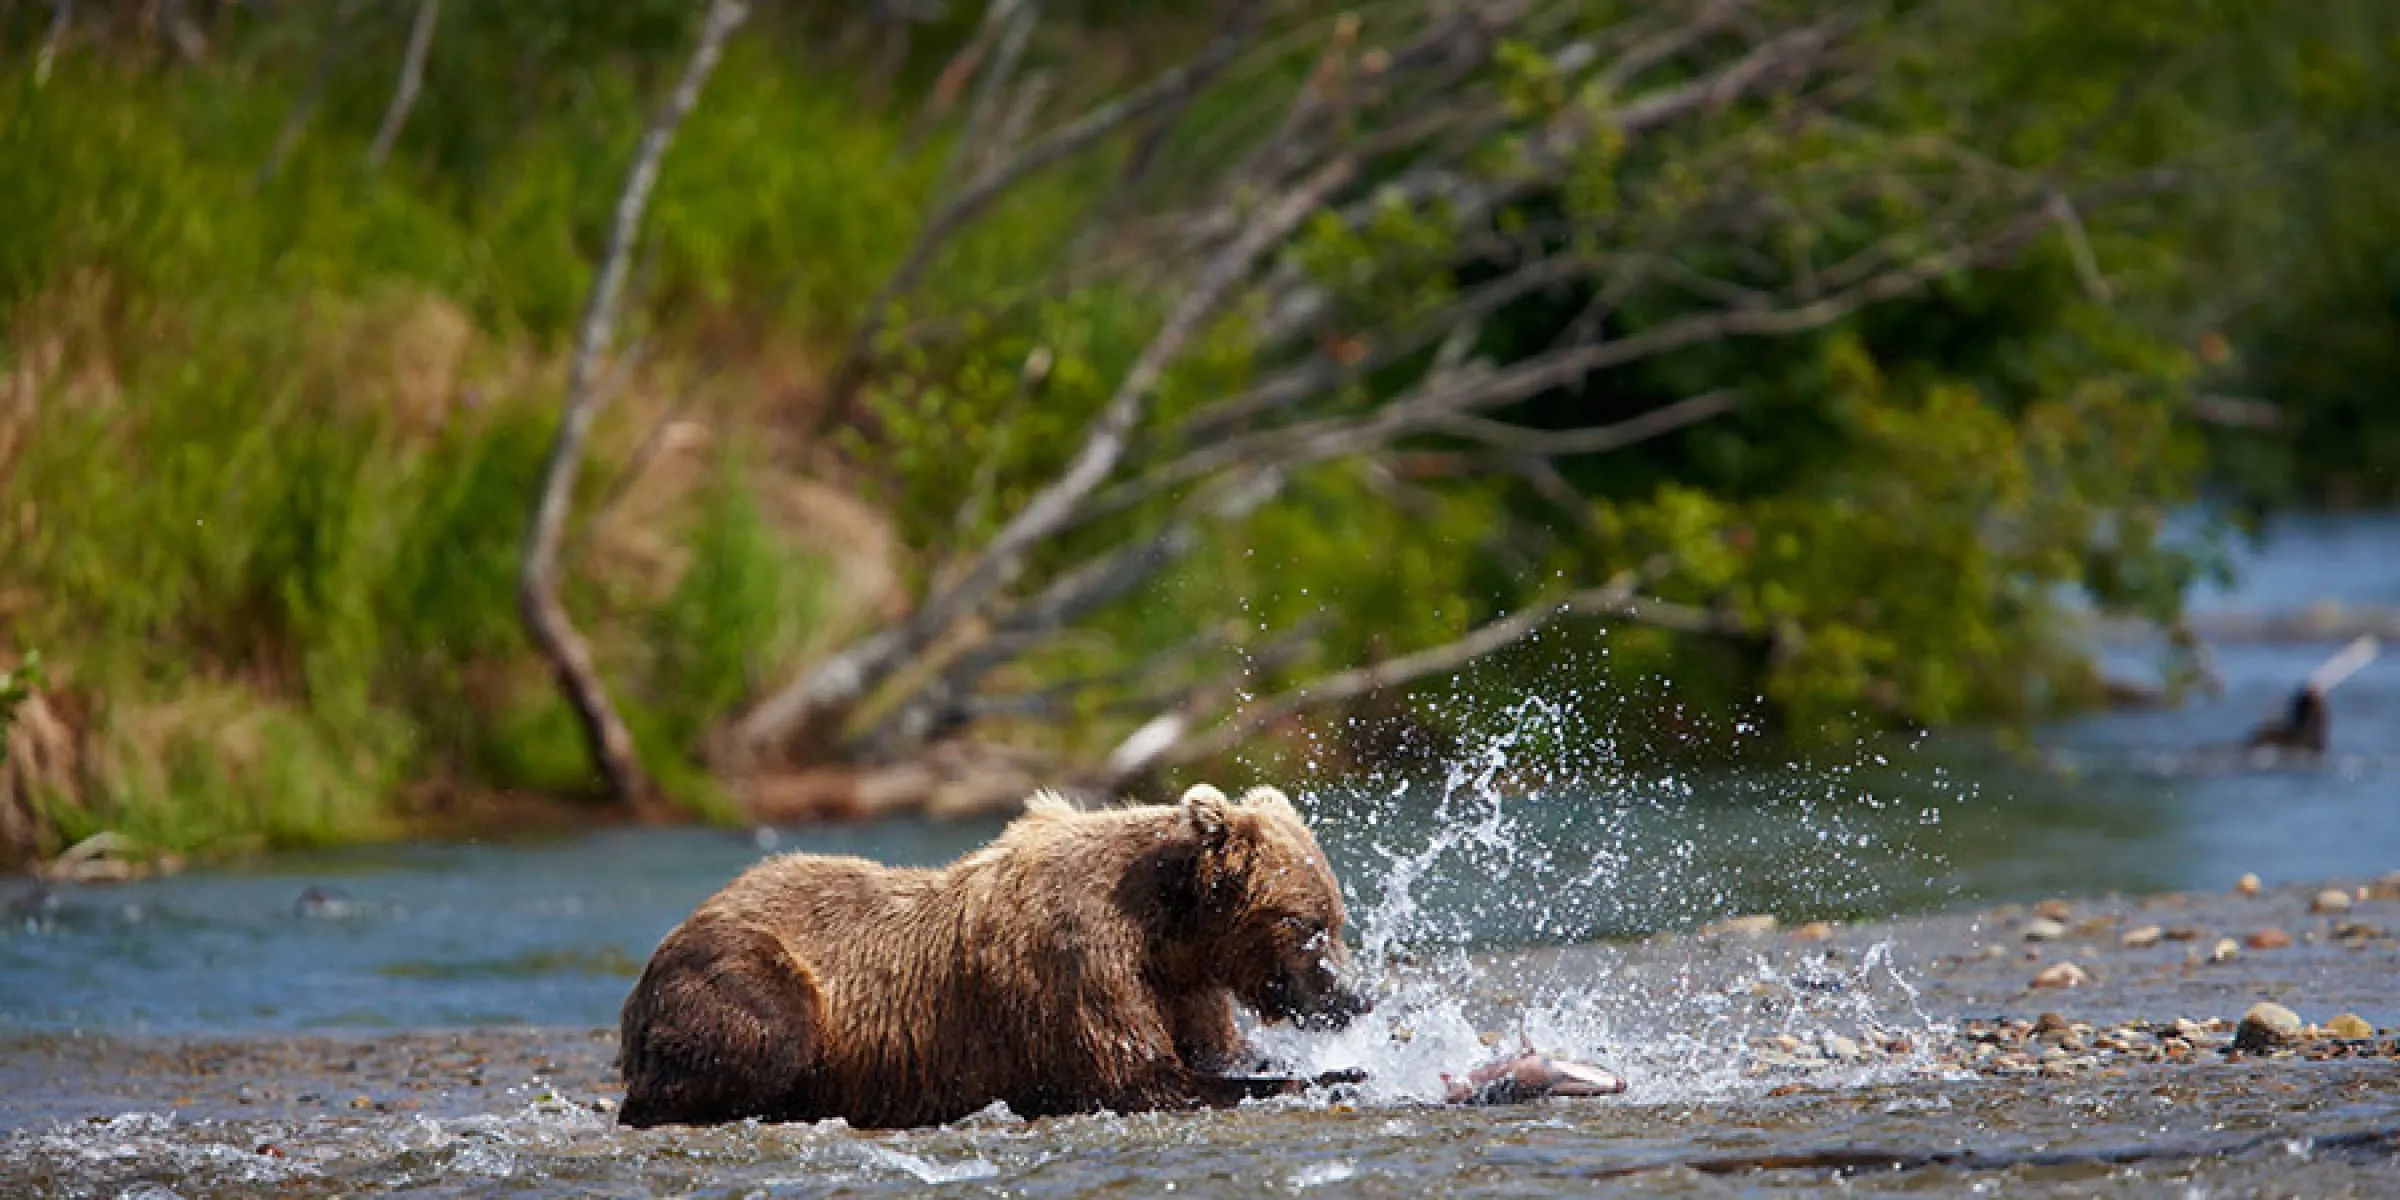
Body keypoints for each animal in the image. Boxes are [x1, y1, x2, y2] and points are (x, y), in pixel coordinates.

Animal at [616, 782, 1372, 1130]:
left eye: (1337, 918)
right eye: (1306, 923)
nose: (1354, 996)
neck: (1166, 930)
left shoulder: (1182, 983)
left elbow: (1217, 1053)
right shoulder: (1077, 962)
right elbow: (1142, 1079)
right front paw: (1342, 1074)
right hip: (748, 970)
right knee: (770, 1035)